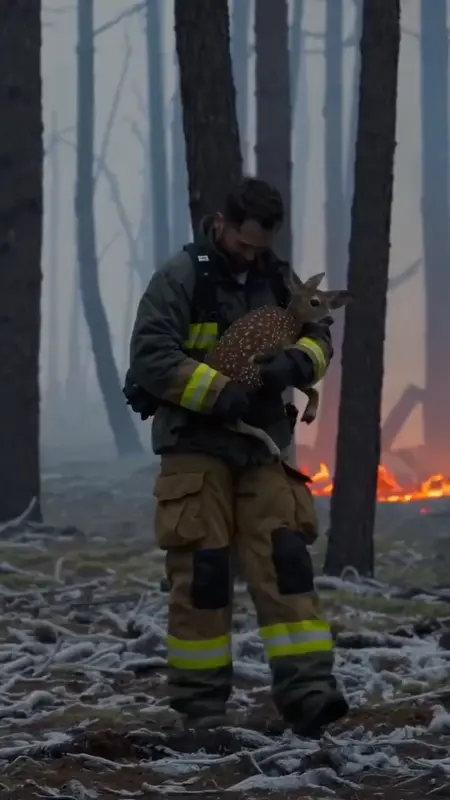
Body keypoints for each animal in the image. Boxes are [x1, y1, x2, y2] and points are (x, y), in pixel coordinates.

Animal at [204, 272, 352, 458]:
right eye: (315, 302)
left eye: (329, 303)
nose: (330, 319)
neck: (291, 321)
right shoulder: (281, 351)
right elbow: (307, 386)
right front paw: (310, 414)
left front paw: (309, 414)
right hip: (251, 378)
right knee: (232, 423)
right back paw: (272, 447)